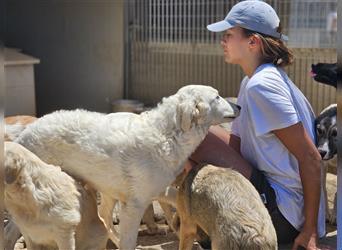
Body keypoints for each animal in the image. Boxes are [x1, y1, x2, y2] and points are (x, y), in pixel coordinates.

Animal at [15, 84, 240, 250]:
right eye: (217, 97)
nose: (239, 108)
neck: (167, 134)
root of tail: (24, 134)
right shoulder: (135, 205)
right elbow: (129, 241)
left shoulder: (155, 190)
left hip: (105, 190)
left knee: (104, 218)